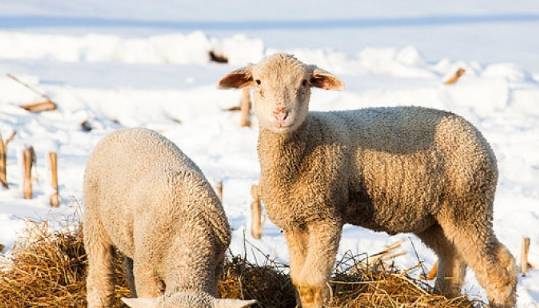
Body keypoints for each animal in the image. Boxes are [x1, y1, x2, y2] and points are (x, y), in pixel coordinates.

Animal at [218, 54, 520, 308]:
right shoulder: (296, 221)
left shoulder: (326, 217)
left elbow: (311, 283)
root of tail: (478, 136)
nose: (281, 114)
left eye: (304, 83)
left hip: (468, 205)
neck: (309, 140)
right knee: (454, 257)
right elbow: (299, 282)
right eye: (258, 82)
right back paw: (443, 297)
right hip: (434, 216)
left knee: (498, 268)